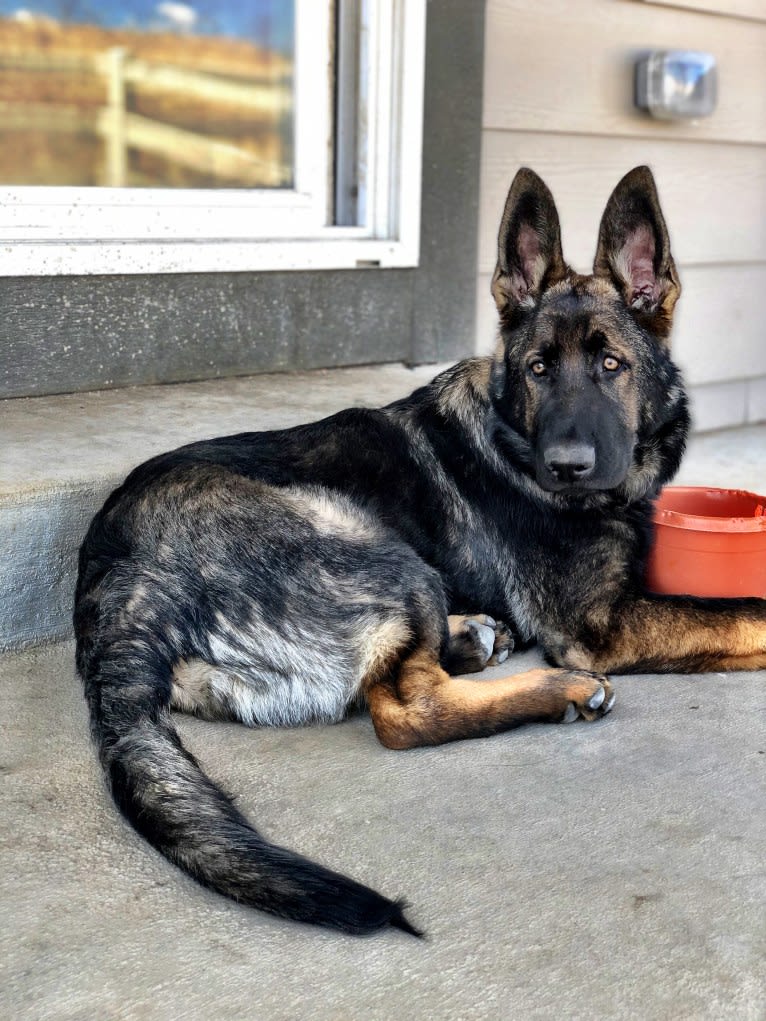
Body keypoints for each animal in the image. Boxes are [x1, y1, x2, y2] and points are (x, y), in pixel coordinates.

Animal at [73, 165, 766, 935]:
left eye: (611, 364)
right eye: (538, 369)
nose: (564, 467)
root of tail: (123, 573)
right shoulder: (599, 626)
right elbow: (743, 611)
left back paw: (472, 637)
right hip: (382, 550)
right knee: (407, 711)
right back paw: (551, 688)